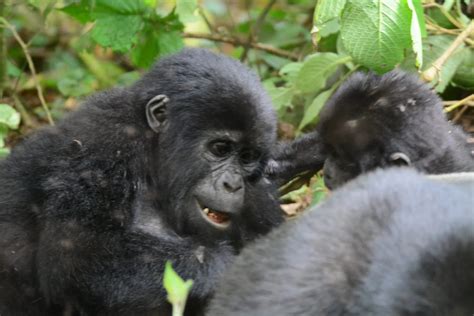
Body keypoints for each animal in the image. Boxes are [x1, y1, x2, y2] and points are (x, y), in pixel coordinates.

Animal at [0, 48, 282, 314]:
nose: (232, 185)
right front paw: (232, 268)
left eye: (247, 157)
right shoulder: (102, 145)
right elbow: (80, 256)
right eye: (220, 148)